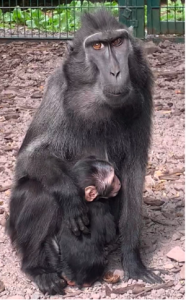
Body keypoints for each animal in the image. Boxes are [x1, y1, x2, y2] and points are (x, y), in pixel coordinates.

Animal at [58, 156, 121, 288]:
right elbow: (110, 235)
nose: (119, 181)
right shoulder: (101, 206)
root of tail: (78, 279)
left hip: (64, 266)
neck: (85, 201)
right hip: (96, 266)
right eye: (112, 179)